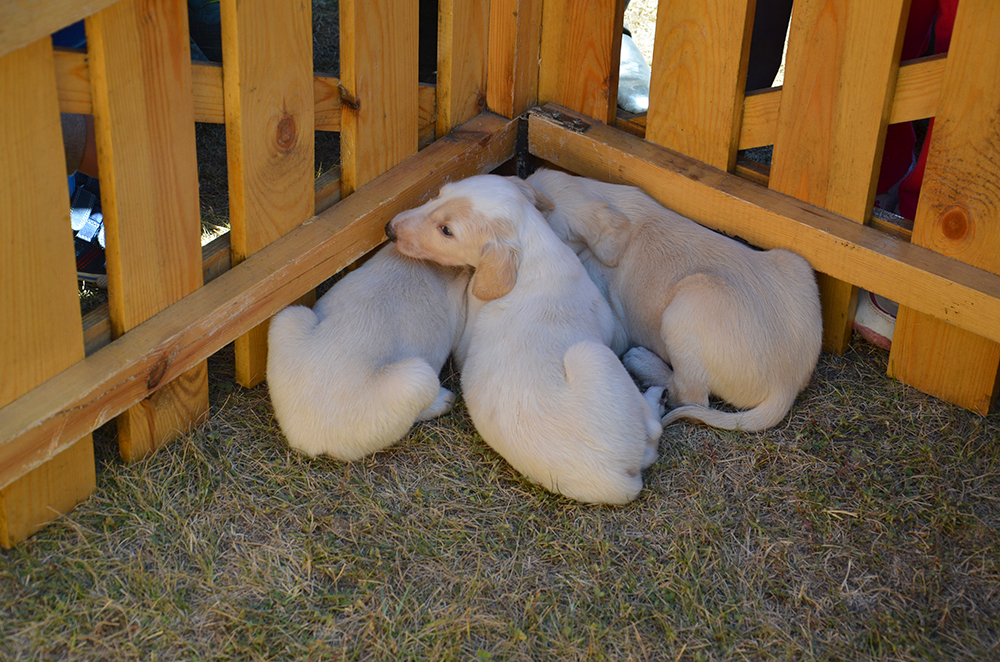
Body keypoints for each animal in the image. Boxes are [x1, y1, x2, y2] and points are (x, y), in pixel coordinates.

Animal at [384, 174, 664, 506]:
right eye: (438, 194)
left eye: (447, 231)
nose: (389, 229)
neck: (534, 249)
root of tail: (619, 480)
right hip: (591, 354)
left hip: (588, 354)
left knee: (653, 427)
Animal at [528, 169, 824, 434]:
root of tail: (785, 384)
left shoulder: (615, 322)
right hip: (796, 264)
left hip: (684, 308)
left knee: (688, 394)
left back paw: (643, 362)